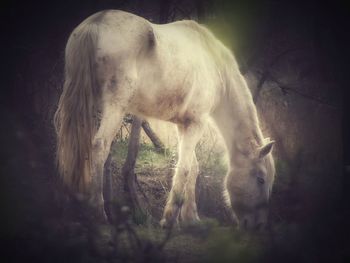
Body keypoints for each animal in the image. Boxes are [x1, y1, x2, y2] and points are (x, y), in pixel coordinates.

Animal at [54, 9, 276, 230]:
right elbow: (185, 168)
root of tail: (97, 22)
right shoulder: (196, 123)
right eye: (261, 179)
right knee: (99, 145)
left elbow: (192, 167)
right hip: (115, 107)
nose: (258, 225)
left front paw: (190, 218)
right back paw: (99, 214)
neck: (214, 65)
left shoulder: (183, 125)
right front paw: (169, 220)